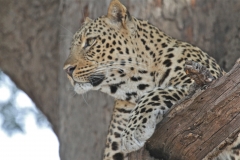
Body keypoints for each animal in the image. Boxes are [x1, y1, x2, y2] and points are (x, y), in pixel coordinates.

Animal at [62, 0, 239, 160]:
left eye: (90, 42)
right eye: (70, 48)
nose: (67, 70)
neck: (136, 85)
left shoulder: (205, 83)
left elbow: (156, 93)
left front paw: (133, 131)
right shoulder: (113, 150)